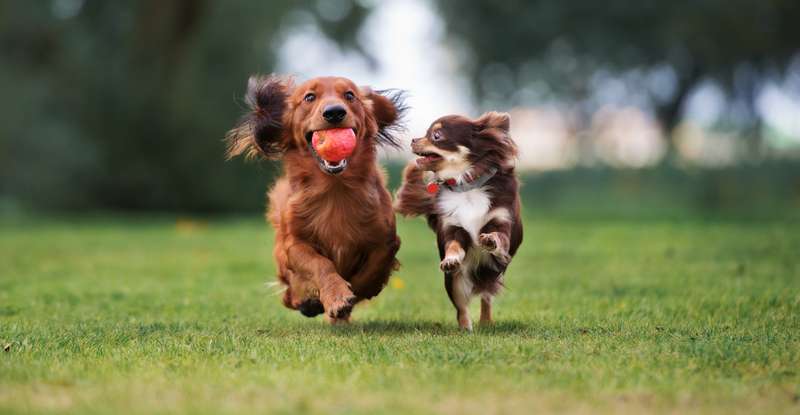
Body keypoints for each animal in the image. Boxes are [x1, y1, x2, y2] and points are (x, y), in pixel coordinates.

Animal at [227, 76, 406, 326]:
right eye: (309, 97)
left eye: (350, 95)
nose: (334, 112)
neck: (335, 189)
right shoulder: (294, 244)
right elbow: (321, 264)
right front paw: (337, 296)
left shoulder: (386, 239)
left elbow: (373, 267)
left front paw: (356, 291)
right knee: (289, 296)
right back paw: (308, 302)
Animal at [396, 113, 520, 332]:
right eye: (426, 133)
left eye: (436, 135)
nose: (413, 139)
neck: (467, 186)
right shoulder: (453, 228)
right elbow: (453, 246)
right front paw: (451, 259)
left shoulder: (502, 222)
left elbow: (499, 237)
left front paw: (490, 240)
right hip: (454, 281)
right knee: (461, 307)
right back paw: (465, 329)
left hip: (493, 274)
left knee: (486, 297)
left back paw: (485, 322)